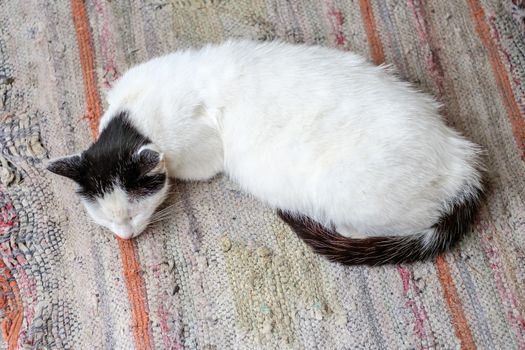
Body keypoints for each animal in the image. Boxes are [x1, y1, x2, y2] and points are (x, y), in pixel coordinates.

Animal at [48, 39, 484, 266]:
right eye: (105, 218)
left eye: (133, 214)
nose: (125, 236)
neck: (135, 114)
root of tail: (462, 160)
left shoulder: (202, 155)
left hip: (348, 191)